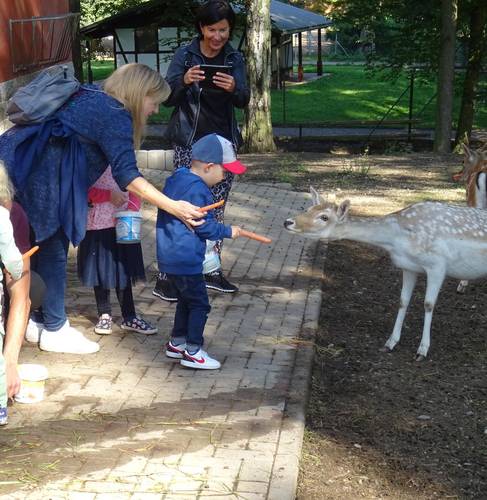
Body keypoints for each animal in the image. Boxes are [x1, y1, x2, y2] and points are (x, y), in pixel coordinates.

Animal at [284, 188, 487, 360]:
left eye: (324, 217)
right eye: (309, 208)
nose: (288, 222)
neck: (397, 238)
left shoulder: (437, 264)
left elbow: (428, 304)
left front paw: (422, 350)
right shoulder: (409, 267)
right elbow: (403, 301)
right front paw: (390, 343)